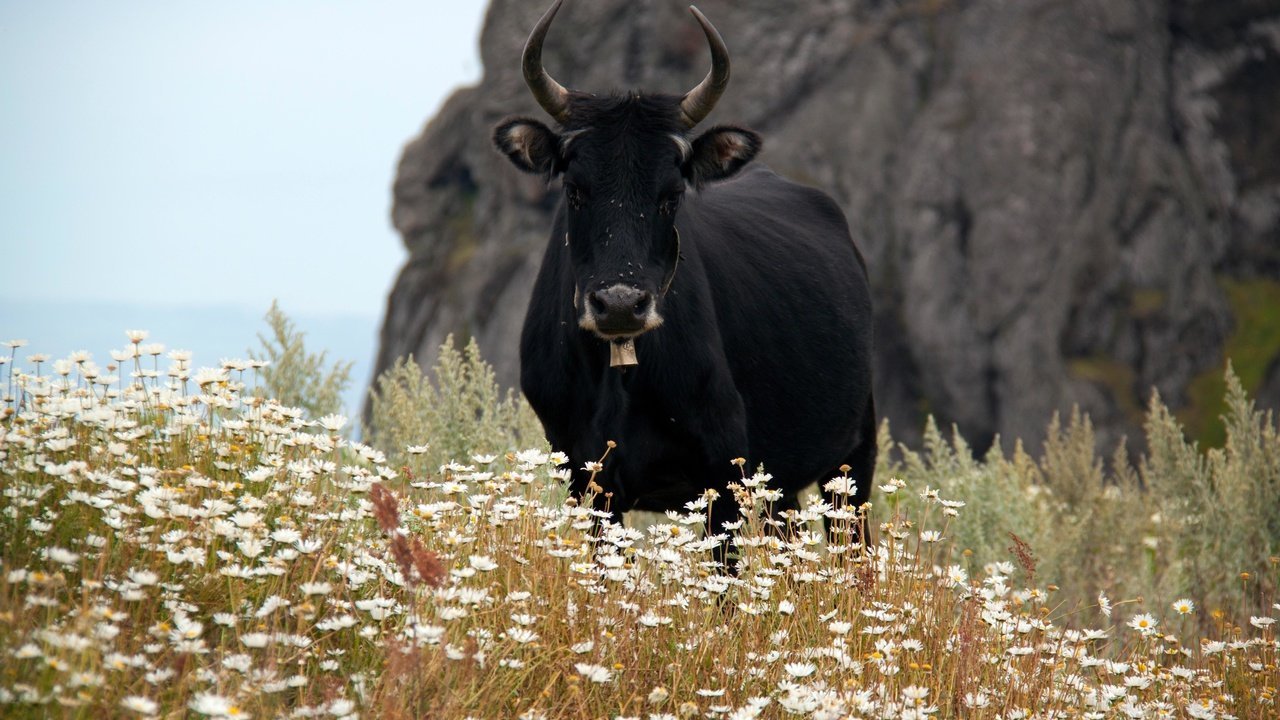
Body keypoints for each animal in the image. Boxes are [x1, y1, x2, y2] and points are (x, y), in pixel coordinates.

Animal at [486, 1, 870, 548]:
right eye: (575, 190)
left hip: (853, 457)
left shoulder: (724, 474)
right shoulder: (587, 480)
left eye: (671, 195)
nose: (620, 304)